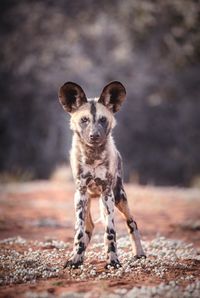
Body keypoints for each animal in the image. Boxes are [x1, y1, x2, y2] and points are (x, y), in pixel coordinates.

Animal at [57, 80, 145, 268]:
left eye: (103, 120)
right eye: (84, 120)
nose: (94, 135)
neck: (93, 156)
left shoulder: (107, 193)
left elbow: (110, 232)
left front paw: (113, 260)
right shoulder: (81, 193)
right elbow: (79, 231)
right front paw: (75, 259)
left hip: (119, 197)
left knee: (131, 222)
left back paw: (139, 253)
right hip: (87, 199)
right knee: (88, 227)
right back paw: (78, 255)